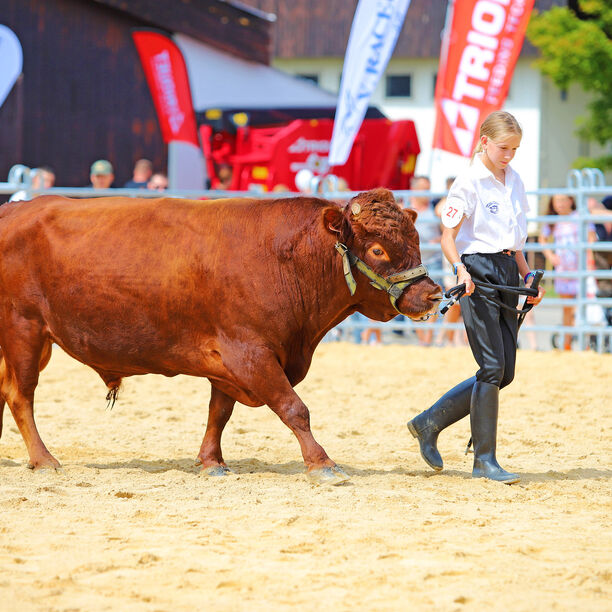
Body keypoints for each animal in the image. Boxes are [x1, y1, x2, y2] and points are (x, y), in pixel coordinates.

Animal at [0, 186, 440, 482]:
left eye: (416, 239)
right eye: (378, 250)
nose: (432, 294)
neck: (285, 259)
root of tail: (15, 208)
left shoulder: (227, 361)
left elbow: (219, 412)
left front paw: (212, 462)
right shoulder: (249, 352)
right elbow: (294, 408)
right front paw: (323, 463)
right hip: (24, 330)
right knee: (21, 395)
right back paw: (44, 460)